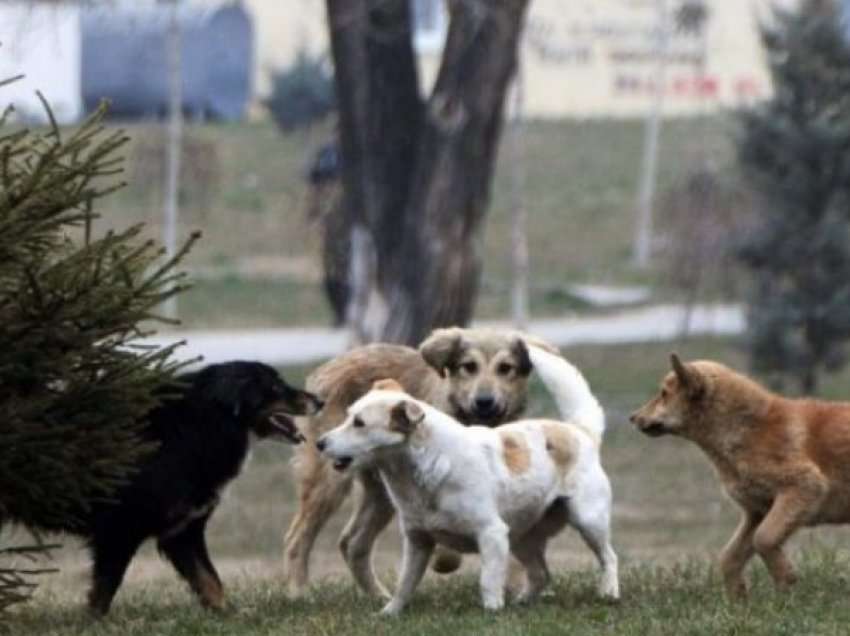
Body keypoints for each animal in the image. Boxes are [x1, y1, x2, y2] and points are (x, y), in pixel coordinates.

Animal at [80, 362, 322, 616]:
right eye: (275, 386)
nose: (320, 401)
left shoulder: (182, 531)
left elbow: (209, 580)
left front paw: (227, 615)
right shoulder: (118, 528)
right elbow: (104, 590)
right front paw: (94, 620)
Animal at [282, 326, 548, 600]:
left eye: (505, 368)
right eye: (469, 366)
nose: (484, 401)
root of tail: (329, 366)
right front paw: (445, 559)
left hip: (381, 494)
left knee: (351, 543)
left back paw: (379, 596)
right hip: (329, 482)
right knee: (297, 538)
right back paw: (299, 592)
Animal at [316, 346, 616, 612]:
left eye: (359, 423)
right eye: (348, 416)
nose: (320, 443)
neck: (425, 470)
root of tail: (580, 431)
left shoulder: (492, 534)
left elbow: (488, 581)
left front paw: (492, 611)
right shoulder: (417, 542)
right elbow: (405, 584)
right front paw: (389, 612)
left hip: (588, 520)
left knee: (608, 557)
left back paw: (609, 593)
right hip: (522, 538)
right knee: (541, 574)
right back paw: (522, 602)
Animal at [628, 356, 850, 600]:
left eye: (664, 393)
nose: (632, 417)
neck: (747, 428)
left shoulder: (804, 486)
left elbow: (764, 539)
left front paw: (786, 581)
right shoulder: (757, 512)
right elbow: (729, 557)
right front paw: (738, 599)